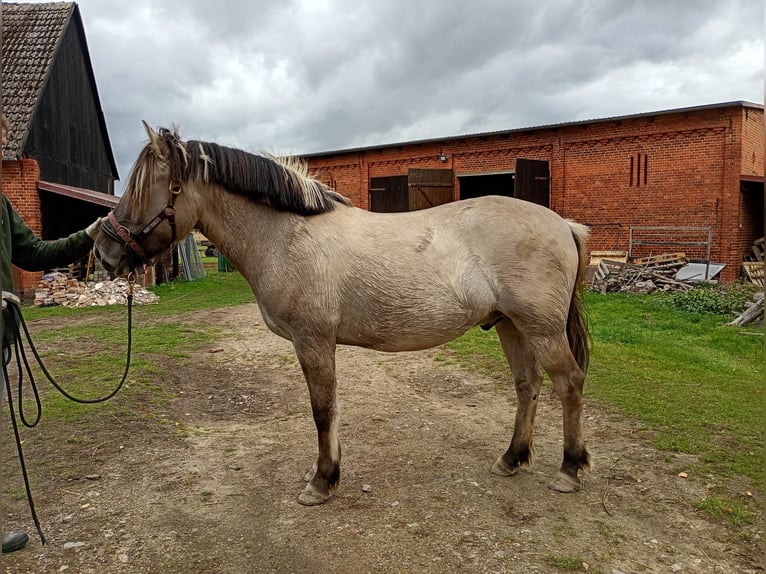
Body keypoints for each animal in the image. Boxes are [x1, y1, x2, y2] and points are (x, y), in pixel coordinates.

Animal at [94, 122, 592, 506]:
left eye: (142, 189)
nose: (103, 251)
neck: (286, 235)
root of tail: (563, 224)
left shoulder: (313, 342)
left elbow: (323, 410)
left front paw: (322, 481)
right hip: (512, 327)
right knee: (527, 386)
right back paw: (511, 459)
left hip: (542, 330)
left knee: (569, 383)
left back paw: (569, 470)